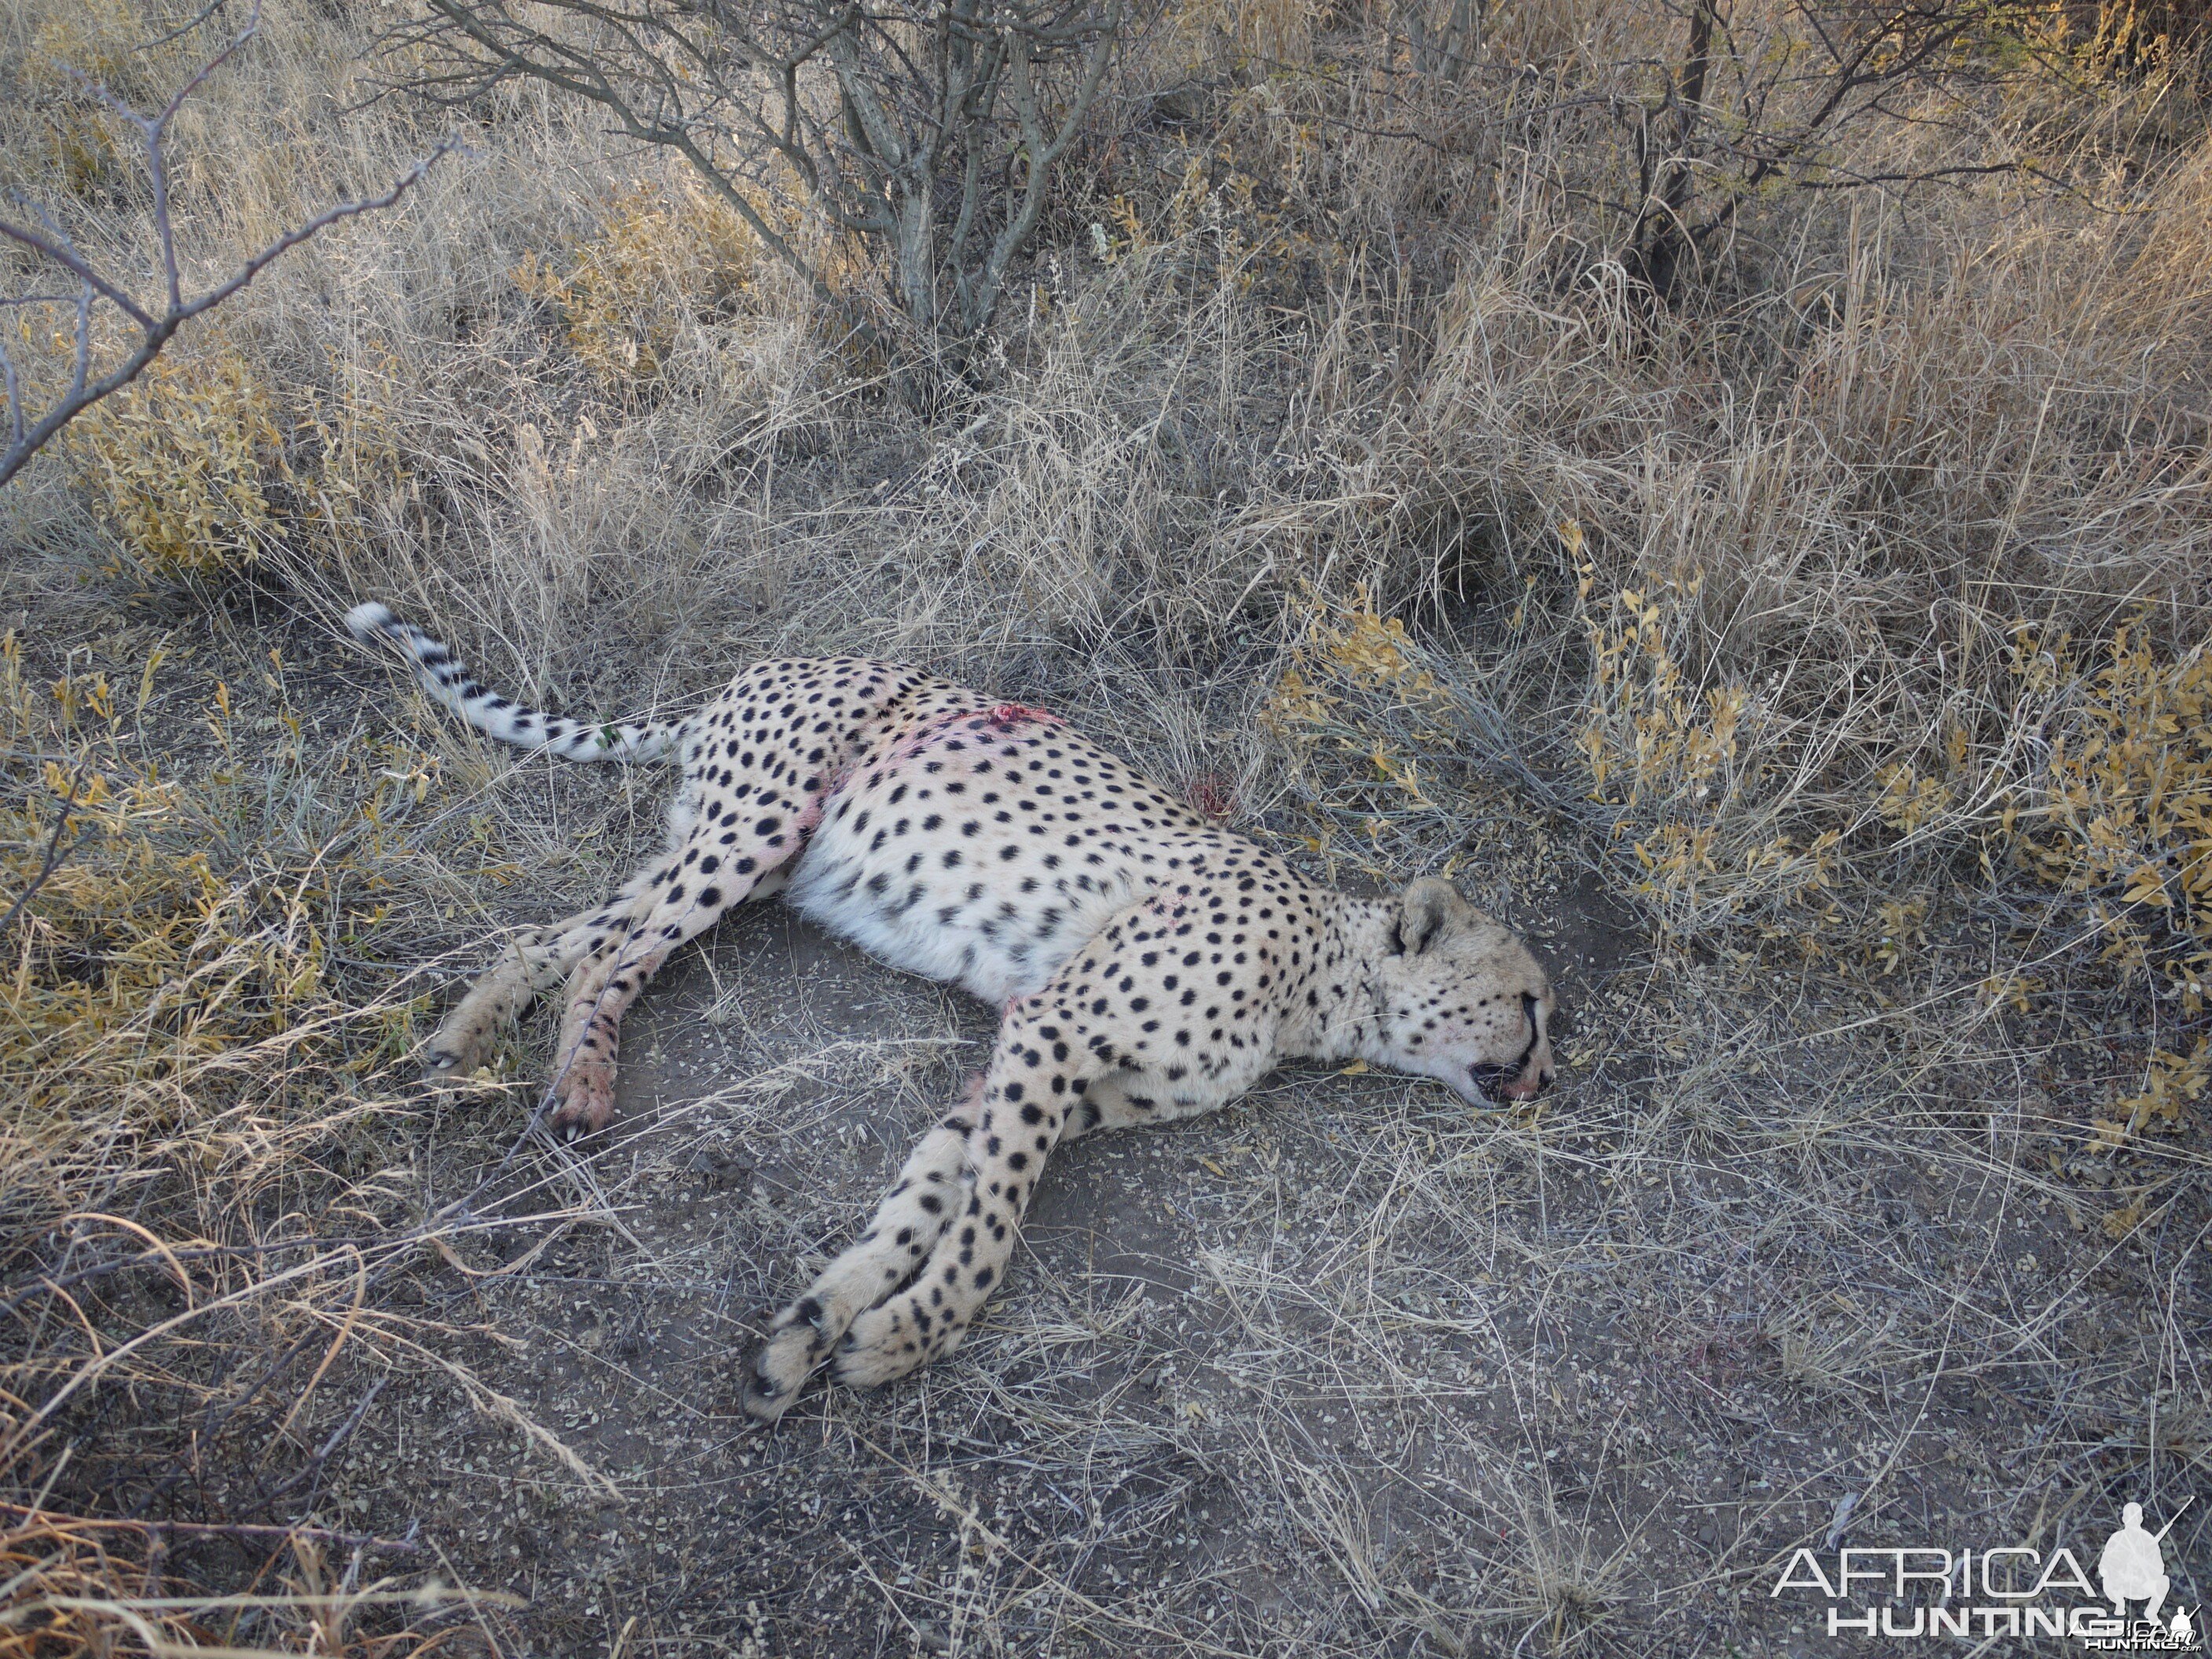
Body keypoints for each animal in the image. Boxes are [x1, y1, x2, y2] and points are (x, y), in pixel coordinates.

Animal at [349, 606, 1557, 1424]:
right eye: (1531, 1005)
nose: (1548, 1083)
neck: (1318, 980)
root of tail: (765, 666)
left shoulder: (1040, 1079)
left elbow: (923, 1201)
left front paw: (809, 1334)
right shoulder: (1049, 1030)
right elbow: (987, 1233)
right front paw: (900, 1339)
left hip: (733, 851)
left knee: (559, 937)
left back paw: (463, 1044)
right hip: (763, 824)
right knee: (608, 957)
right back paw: (577, 1080)